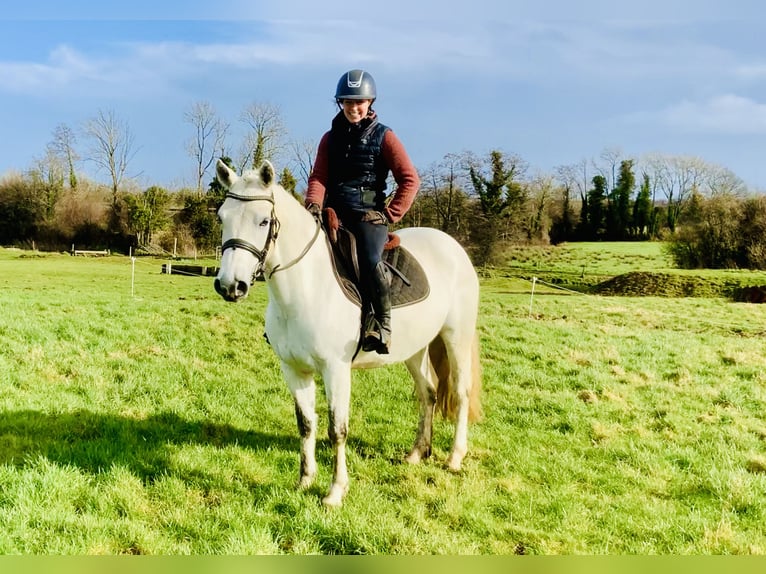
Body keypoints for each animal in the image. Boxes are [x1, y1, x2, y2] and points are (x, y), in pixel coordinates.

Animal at [214, 160, 480, 506]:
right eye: (222, 217)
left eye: (263, 221)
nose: (230, 285)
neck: (306, 286)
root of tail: (453, 247)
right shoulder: (294, 369)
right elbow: (306, 424)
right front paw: (305, 480)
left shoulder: (336, 370)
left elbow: (336, 430)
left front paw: (335, 492)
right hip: (415, 349)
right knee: (428, 393)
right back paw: (416, 453)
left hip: (456, 337)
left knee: (460, 393)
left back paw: (455, 458)